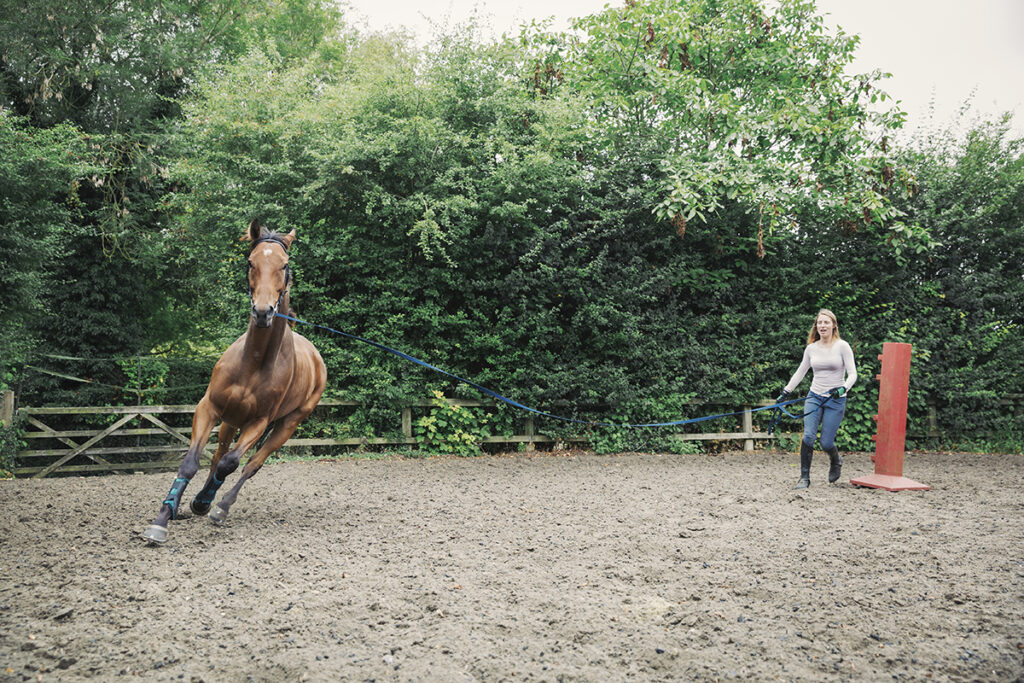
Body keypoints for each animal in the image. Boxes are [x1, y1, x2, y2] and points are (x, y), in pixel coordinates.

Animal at [142, 220, 327, 544]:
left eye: (285, 265)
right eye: (251, 262)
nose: (263, 312)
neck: (254, 362)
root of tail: (317, 359)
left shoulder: (259, 423)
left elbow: (231, 463)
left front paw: (204, 501)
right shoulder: (209, 408)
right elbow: (193, 462)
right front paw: (162, 519)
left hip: (287, 425)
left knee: (251, 465)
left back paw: (219, 506)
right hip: (231, 420)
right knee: (218, 454)